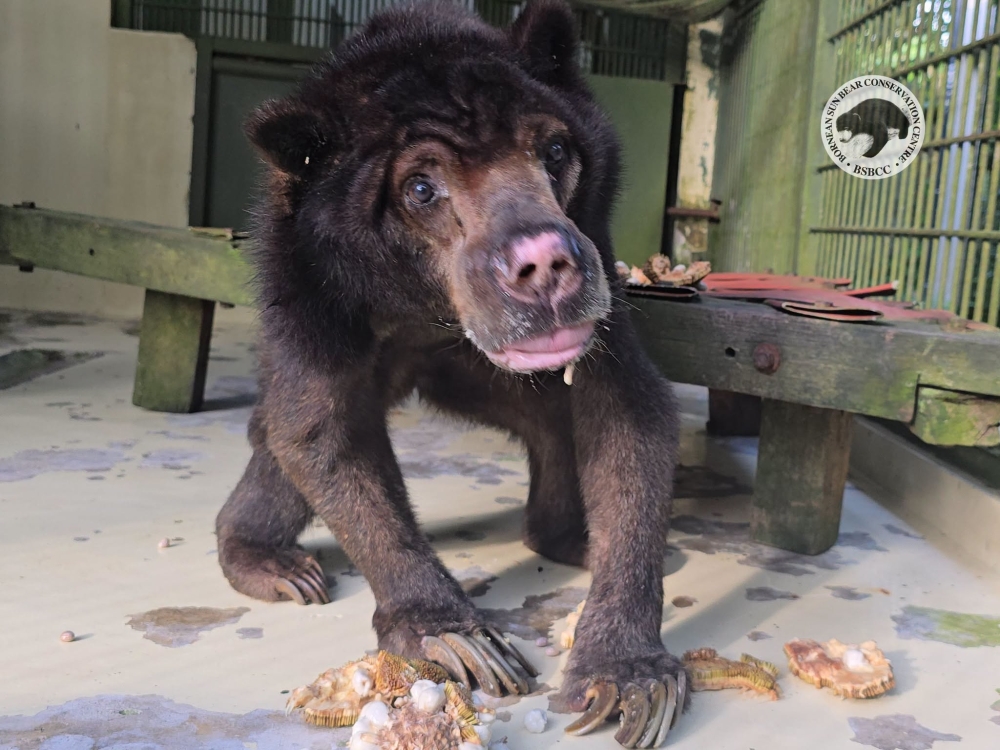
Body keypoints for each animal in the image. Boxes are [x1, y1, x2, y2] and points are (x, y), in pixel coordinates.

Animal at [215, 0, 684, 741]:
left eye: (554, 153)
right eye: (421, 188)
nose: (544, 264)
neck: (426, 307)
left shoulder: (598, 265)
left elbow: (627, 413)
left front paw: (629, 675)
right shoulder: (312, 282)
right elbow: (318, 432)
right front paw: (456, 639)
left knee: (553, 423)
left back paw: (567, 537)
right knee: (277, 447)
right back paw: (271, 563)